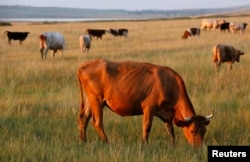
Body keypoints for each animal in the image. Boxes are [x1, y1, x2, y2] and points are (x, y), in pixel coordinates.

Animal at [76, 58, 213, 146]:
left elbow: (170, 130)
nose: (199, 147)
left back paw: (83, 141)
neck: (170, 84)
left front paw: (173, 145)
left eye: (204, 131)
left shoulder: (167, 114)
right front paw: (145, 144)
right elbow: (147, 127)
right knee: (97, 122)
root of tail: (84, 65)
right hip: (97, 101)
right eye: (192, 131)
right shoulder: (149, 107)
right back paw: (106, 142)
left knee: (84, 118)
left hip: (91, 101)